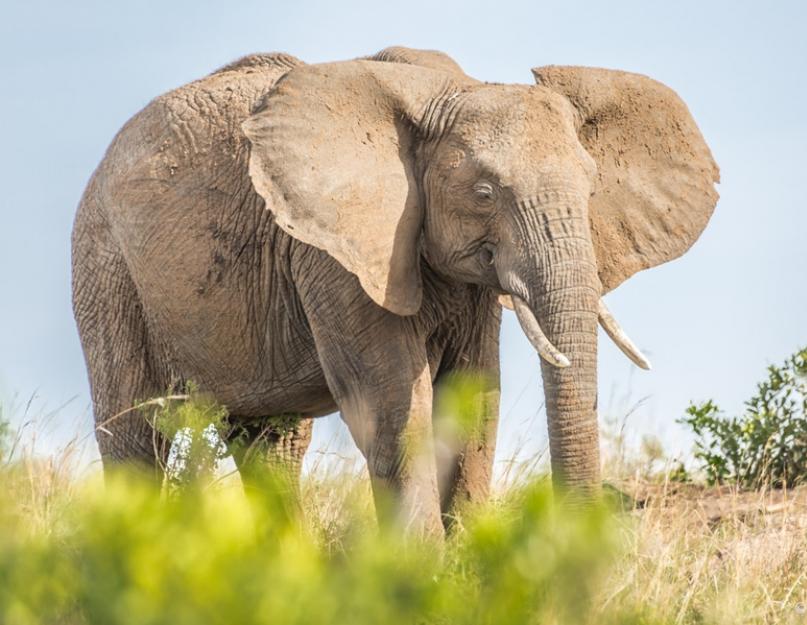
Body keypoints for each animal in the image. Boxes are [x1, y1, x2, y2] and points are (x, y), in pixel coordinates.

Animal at [72, 44, 720, 532]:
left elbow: (473, 401)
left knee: (274, 444)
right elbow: (390, 406)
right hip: (106, 266)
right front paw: (422, 573)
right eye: (483, 193)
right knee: (135, 434)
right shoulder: (331, 253)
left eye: (589, 190)